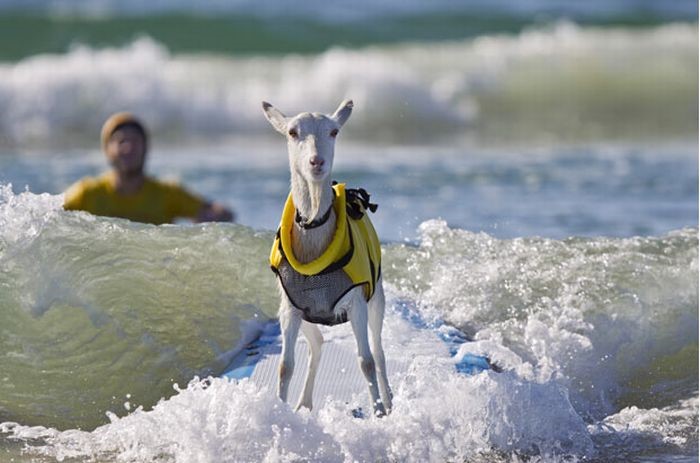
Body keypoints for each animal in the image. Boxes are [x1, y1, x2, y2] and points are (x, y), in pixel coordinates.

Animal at [262, 99, 394, 418]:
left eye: (334, 131)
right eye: (292, 132)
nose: (316, 162)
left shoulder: (357, 300)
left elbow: (365, 361)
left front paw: (378, 413)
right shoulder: (291, 307)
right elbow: (285, 366)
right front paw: (280, 410)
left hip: (377, 295)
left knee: (378, 350)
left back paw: (389, 402)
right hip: (303, 311)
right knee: (318, 342)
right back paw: (304, 403)